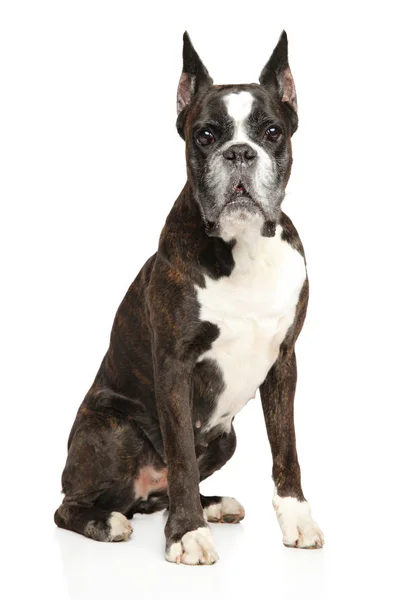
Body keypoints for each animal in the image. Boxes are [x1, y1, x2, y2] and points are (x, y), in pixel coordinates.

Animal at [55, 30, 324, 564]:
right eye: (205, 135)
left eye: (272, 132)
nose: (239, 153)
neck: (244, 247)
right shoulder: (175, 367)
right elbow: (179, 454)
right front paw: (186, 534)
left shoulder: (284, 362)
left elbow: (286, 448)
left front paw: (297, 520)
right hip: (111, 429)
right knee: (71, 505)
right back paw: (107, 521)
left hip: (226, 439)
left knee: (163, 491)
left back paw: (213, 504)